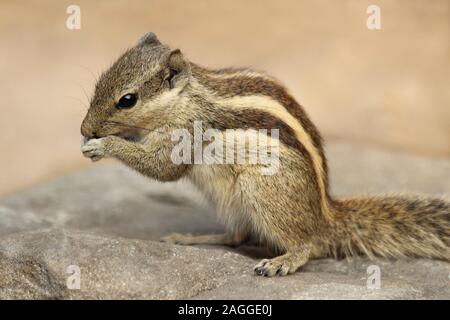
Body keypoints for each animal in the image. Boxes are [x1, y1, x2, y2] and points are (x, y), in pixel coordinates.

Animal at [81, 33, 450, 278]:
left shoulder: (184, 133)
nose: (85, 128)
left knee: (309, 245)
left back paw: (281, 262)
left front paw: (104, 145)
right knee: (236, 235)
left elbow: (162, 169)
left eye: (127, 100)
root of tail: (325, 216)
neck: (185, 98)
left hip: (261, 189)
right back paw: (194, 238)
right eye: (98, 85)